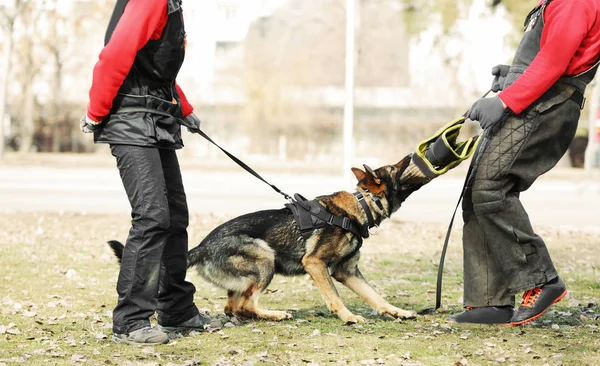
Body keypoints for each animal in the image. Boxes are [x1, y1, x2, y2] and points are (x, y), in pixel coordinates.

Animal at [111, 154, 422, 324]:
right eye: (394, 168)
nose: (412, 156)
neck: (362, 204)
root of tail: (203, 245)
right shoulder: (316, 264)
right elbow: (334, 296)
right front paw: (348, 317)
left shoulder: (347, 272)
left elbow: (375, 295)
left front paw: (398, 312)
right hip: (265, 259)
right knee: (247, 304)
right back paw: (276, 314)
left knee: (234, 307)